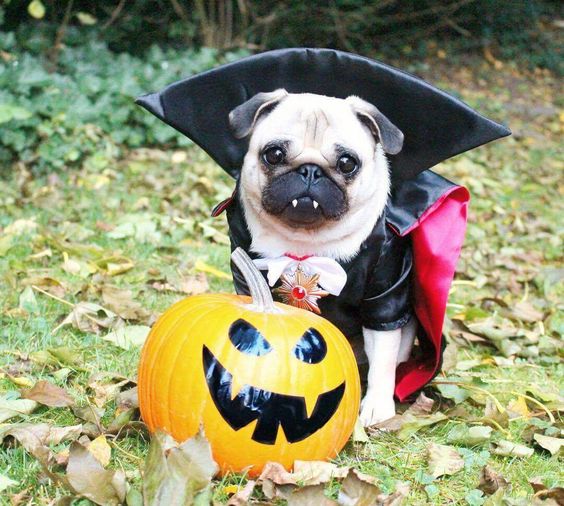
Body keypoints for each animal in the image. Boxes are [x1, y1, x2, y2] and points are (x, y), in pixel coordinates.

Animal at [227, 89, 416, 424]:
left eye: (347, 163)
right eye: (274, 154)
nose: (310, 170)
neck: (305, 243)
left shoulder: (384, 297)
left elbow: (383, 359)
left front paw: (377, 406)